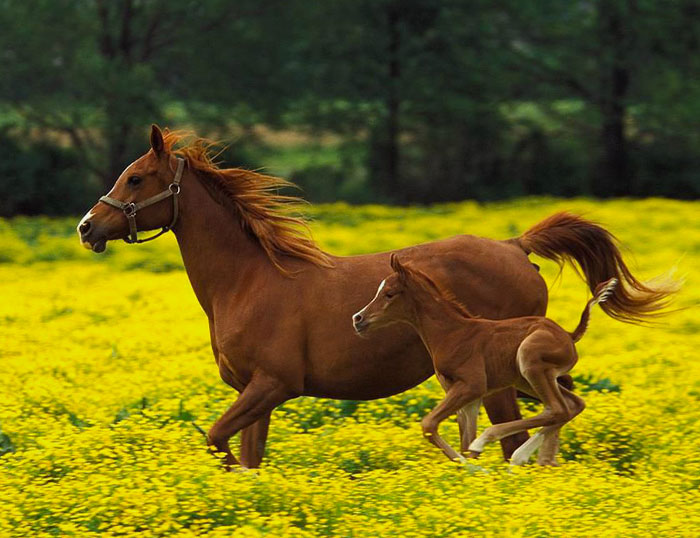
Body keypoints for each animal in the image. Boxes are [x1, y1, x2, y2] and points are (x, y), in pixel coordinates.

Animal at [356, 253, 616, 462]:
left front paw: (473, 466)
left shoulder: (472, 385)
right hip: (526, 378)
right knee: (571, 405)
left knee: (557, 408)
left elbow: (429, 425)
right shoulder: (467, 394)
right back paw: (530, 458)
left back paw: (504, 448)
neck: (451, 333)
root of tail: (570, 335)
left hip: (529, 360)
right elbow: (463, 439)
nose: (358, 319)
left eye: (389, 294)